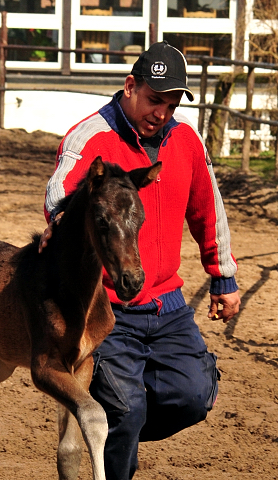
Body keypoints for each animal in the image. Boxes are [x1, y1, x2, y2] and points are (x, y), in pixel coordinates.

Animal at [0, 156, 162, 478]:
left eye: (140, 220)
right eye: (101, 220)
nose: (132, 282)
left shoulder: (83, 363)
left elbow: (71, 448)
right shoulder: (44, 367)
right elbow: (94, 415)